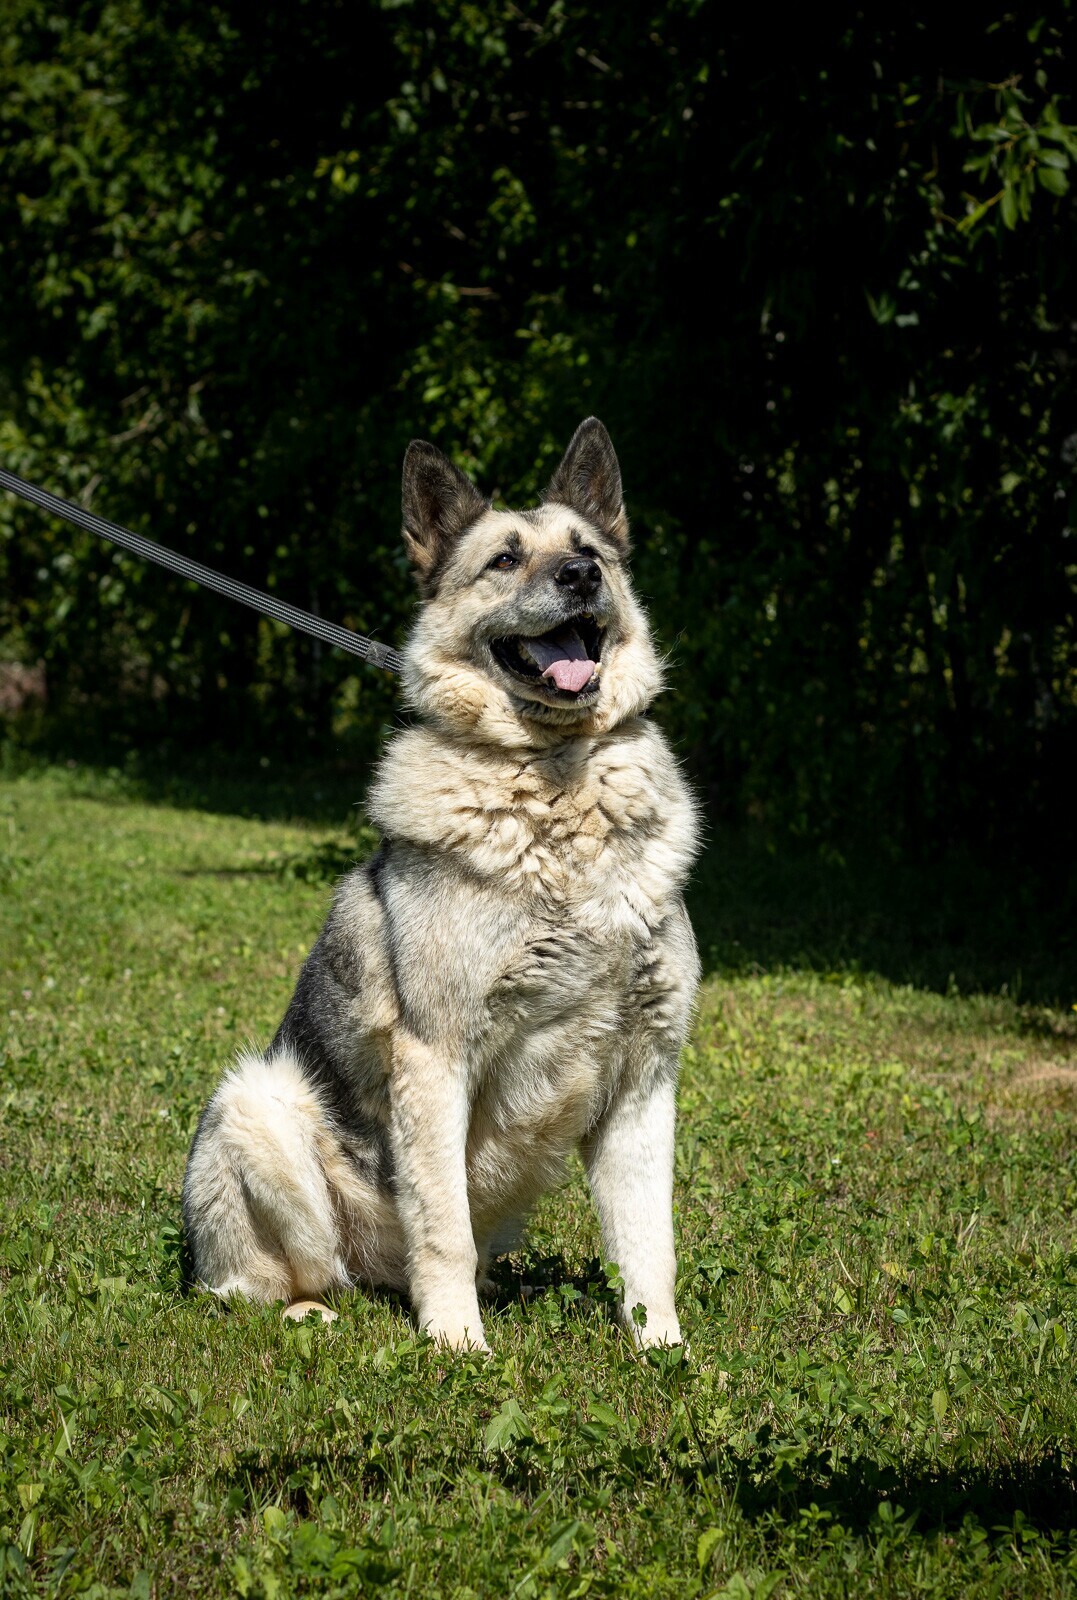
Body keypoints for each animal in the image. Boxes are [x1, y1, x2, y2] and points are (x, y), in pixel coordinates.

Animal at [180, 416, 700, 1350]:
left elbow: (649, 1243)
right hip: (254, 1104)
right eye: (504, 560)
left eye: (587, 552)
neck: (553, 786)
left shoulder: (646, 1080)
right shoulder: (435, 1059)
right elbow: (444, 1228)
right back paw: (318, 1308)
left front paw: (663, 1351)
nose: (580, 578)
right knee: (269, 1283)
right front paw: (459, 1347)